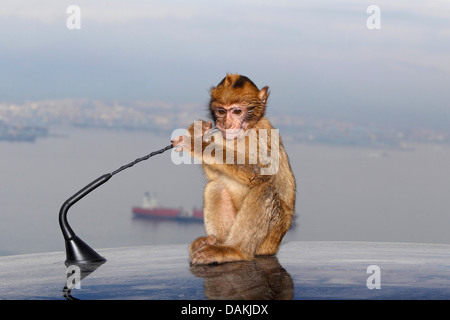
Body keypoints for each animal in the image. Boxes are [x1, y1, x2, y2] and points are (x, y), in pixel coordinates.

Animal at [172, 73, 296, 264]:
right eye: (221, 111)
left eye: (237, 111)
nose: (227, 124)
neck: (243, 134)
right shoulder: (219, 136)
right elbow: (215, 175)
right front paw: (198, 131)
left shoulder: (264, 131)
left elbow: (259, 171)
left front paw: (196, 144)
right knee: (215, 186)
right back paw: (213, 242)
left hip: (269, 240)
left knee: (264, 188)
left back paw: (235, 250)